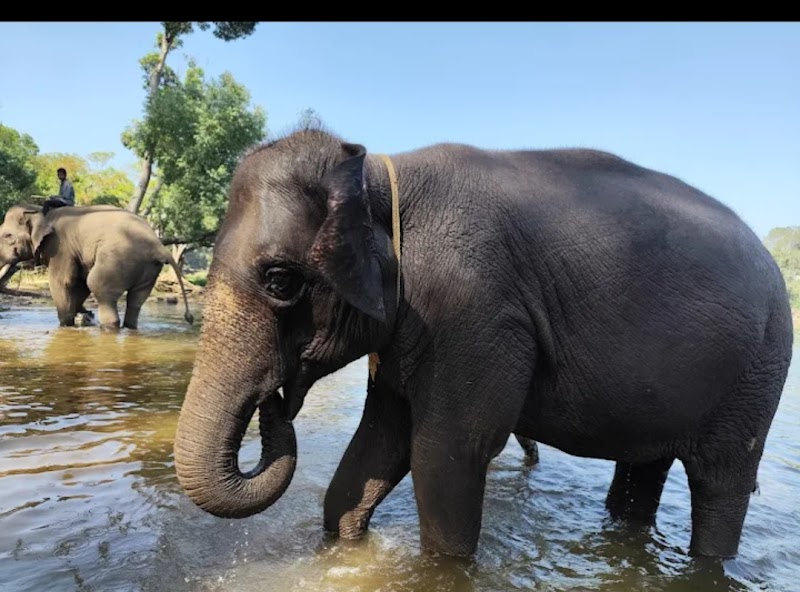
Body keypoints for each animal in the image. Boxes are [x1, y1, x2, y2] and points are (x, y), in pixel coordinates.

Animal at [0, 203, 194, 329]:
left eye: (8, 236)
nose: (87, 313)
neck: (41, 211)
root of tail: (160, 247)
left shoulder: (60, 247)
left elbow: (64, 281)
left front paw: (66, 325)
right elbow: (80, 284)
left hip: (119, 259)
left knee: (98, 285)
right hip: (148, 270)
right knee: (136, 301)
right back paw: (129, 327)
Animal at [173, 127, 793, 560]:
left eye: (280, 281)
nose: (276, 403)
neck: (380, 173)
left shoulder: (472, 310)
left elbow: (445, 453)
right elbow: (378, 444)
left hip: (759, 372)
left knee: (721, 481)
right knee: (643, 470)